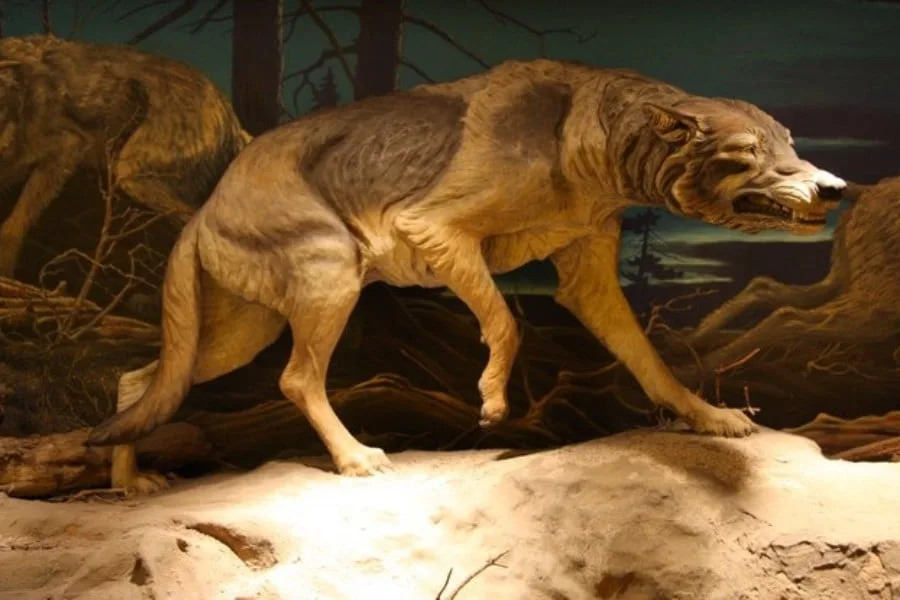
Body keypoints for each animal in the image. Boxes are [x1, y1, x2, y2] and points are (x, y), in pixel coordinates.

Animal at [85, 58, 848, 491]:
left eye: (789, 142)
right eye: (747, 153)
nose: (835, 188)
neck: (589, 138)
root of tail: (202, 210)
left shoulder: (588, 278)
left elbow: (650, 363)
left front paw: (712, 420)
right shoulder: (435, 229)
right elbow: (506, 323)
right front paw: (490, 403)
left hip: (242, 331)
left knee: (137, 382)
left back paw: (129, 488)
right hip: (329, 282)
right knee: (296, 379)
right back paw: (356, 459)